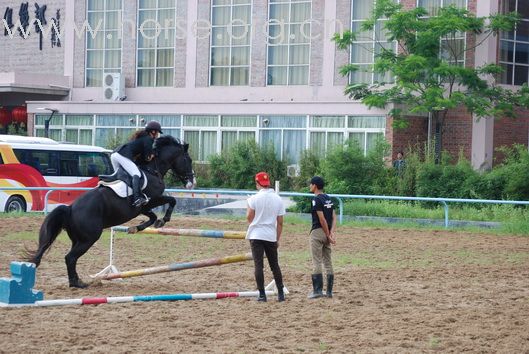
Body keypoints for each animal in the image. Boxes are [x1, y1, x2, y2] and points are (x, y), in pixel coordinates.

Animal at [25, 136, 194, 288]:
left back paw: (76, 281)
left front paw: (136, 228)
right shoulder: (151, 200)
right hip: (89, 239)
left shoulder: (143, 207)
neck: (153, 169)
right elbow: (172, 201)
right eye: (188, 160)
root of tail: (70, 208)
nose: (192, 182)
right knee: (70, 258)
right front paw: (163, 220)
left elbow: (152, 216)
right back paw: (77, 284)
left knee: (71, 258)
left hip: (77, 239)